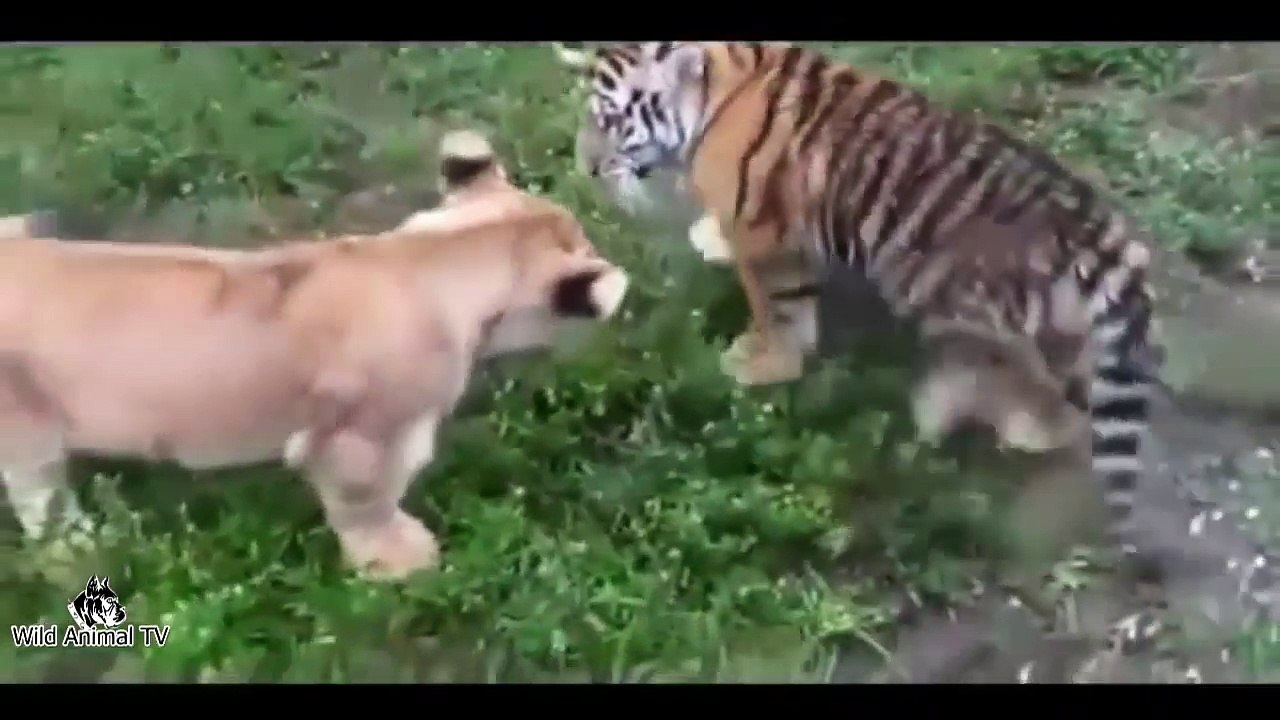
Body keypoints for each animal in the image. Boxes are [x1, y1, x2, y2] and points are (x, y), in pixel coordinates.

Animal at [0, 128, 631, 581]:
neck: (428, 258)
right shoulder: (359, 439)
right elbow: (368, 503)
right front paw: (397, 562)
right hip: (26, 427)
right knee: (42, 500)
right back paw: (84, 548)